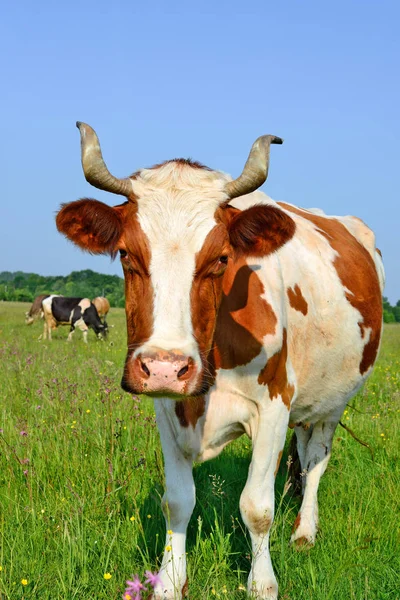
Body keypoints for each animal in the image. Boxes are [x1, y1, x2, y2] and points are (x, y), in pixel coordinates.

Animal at [54, 123, 382, 600]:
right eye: (127, 255)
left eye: (221, 259)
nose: (166, 367)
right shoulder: (167, 406)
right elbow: (177, 501)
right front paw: (169, 580)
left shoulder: (273, 406)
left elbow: (257, 507)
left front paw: (262, 583)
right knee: (304, 453)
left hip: (334, 399)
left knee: (317, 457)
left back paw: (304, 531)